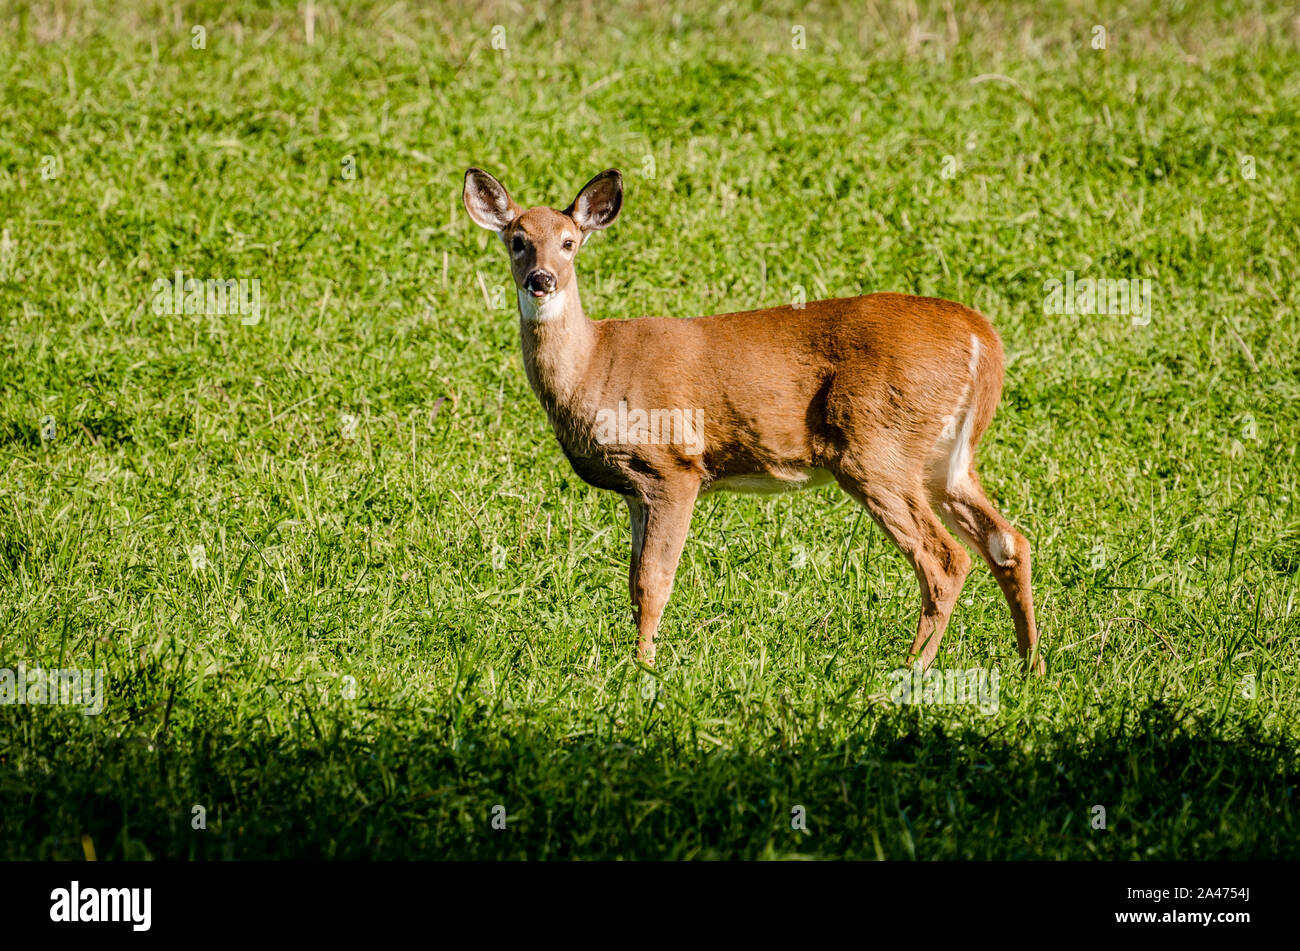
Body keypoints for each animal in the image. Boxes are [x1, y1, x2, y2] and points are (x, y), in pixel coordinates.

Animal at [462, 168, 1040, 675]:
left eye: (569, 242)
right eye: (517, 241)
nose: (541, 279)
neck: (594, 363)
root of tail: (982, 339)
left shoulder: (673, 465)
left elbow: (652, 581)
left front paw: (642, 669)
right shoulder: (634, 488)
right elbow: (631, 582)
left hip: (877, 446)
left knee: (945, 558)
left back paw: (908, 668)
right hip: (944, 457)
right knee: (1008, 541)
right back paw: (1030, 664)